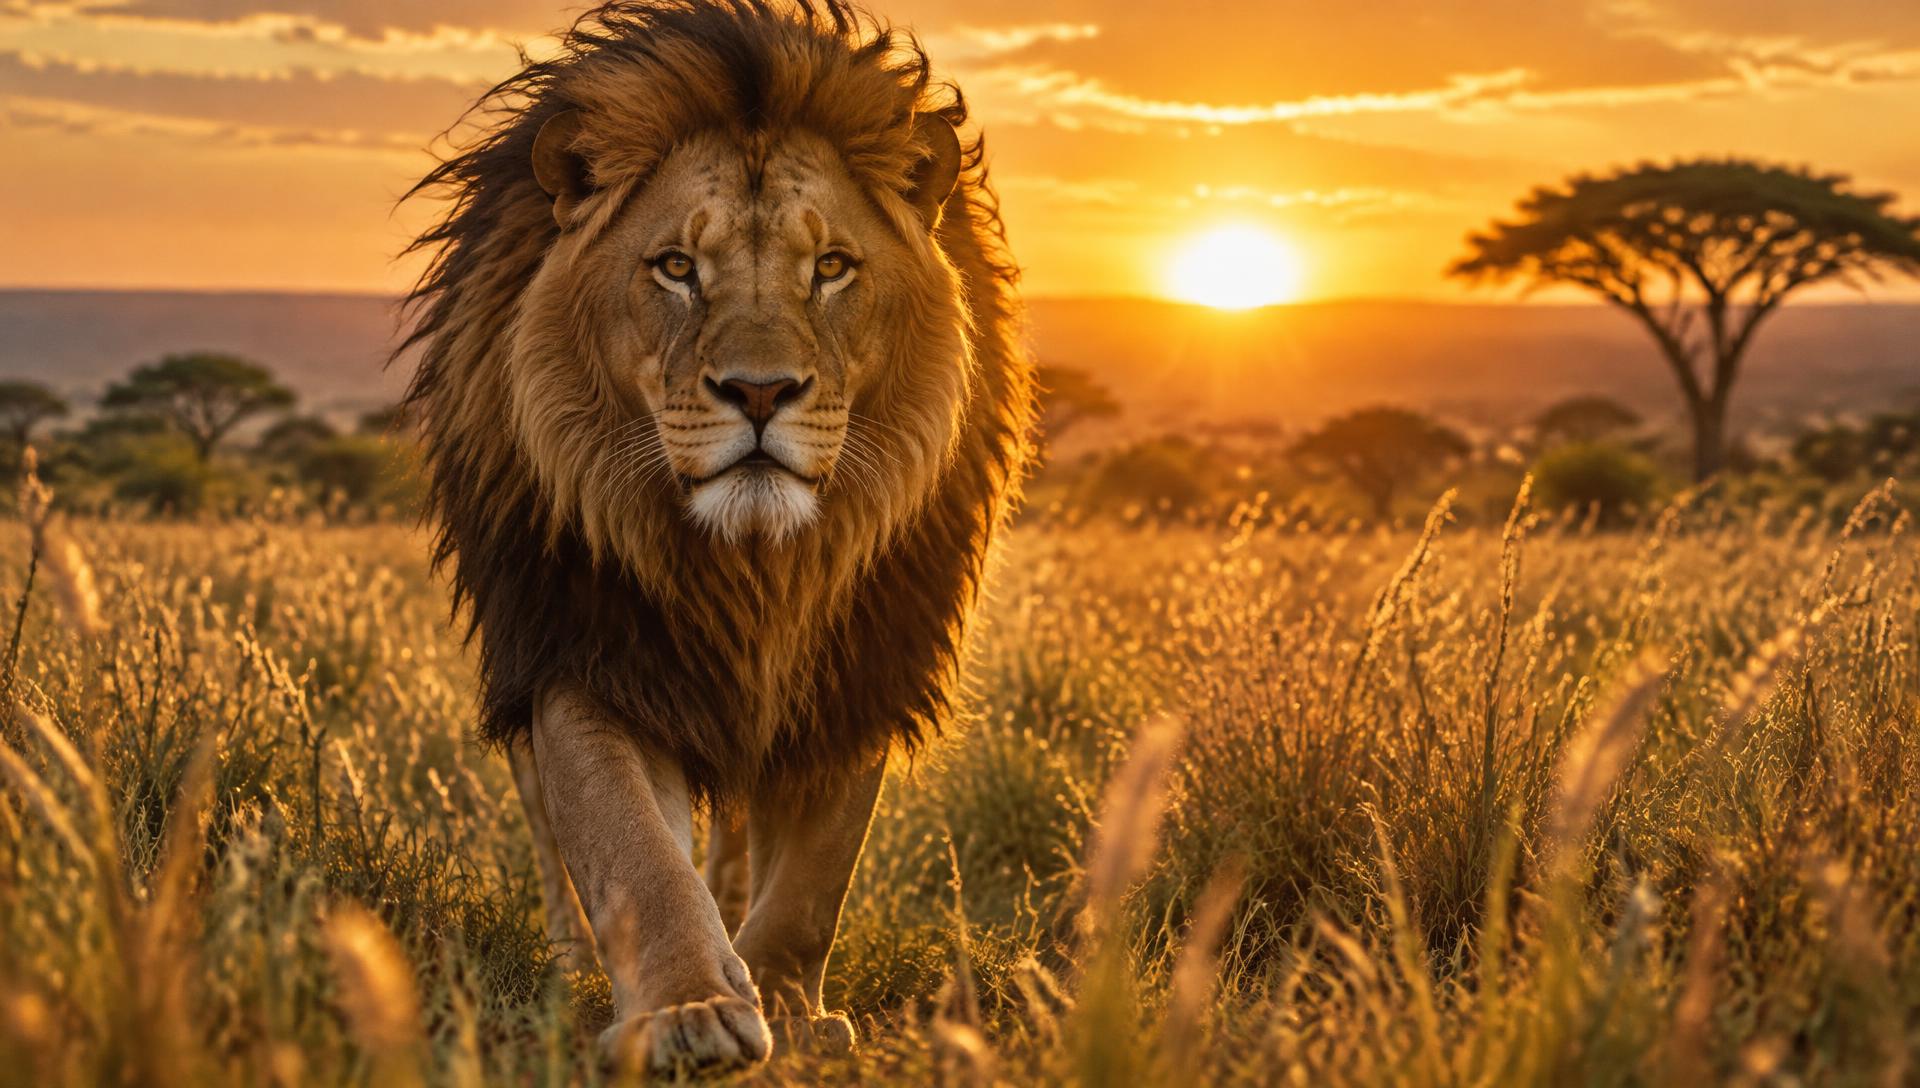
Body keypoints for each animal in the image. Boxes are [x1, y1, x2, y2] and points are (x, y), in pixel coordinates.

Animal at [399, 0, 1034, 1075]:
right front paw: (689, 1009)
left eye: (831, 269)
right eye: (676, 268)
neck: (753, 569)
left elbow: (816, 875)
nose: (761, 391)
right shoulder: (583, 652)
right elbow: (632, 851)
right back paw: (576, 964)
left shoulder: (863, 663)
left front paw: (783, 999)